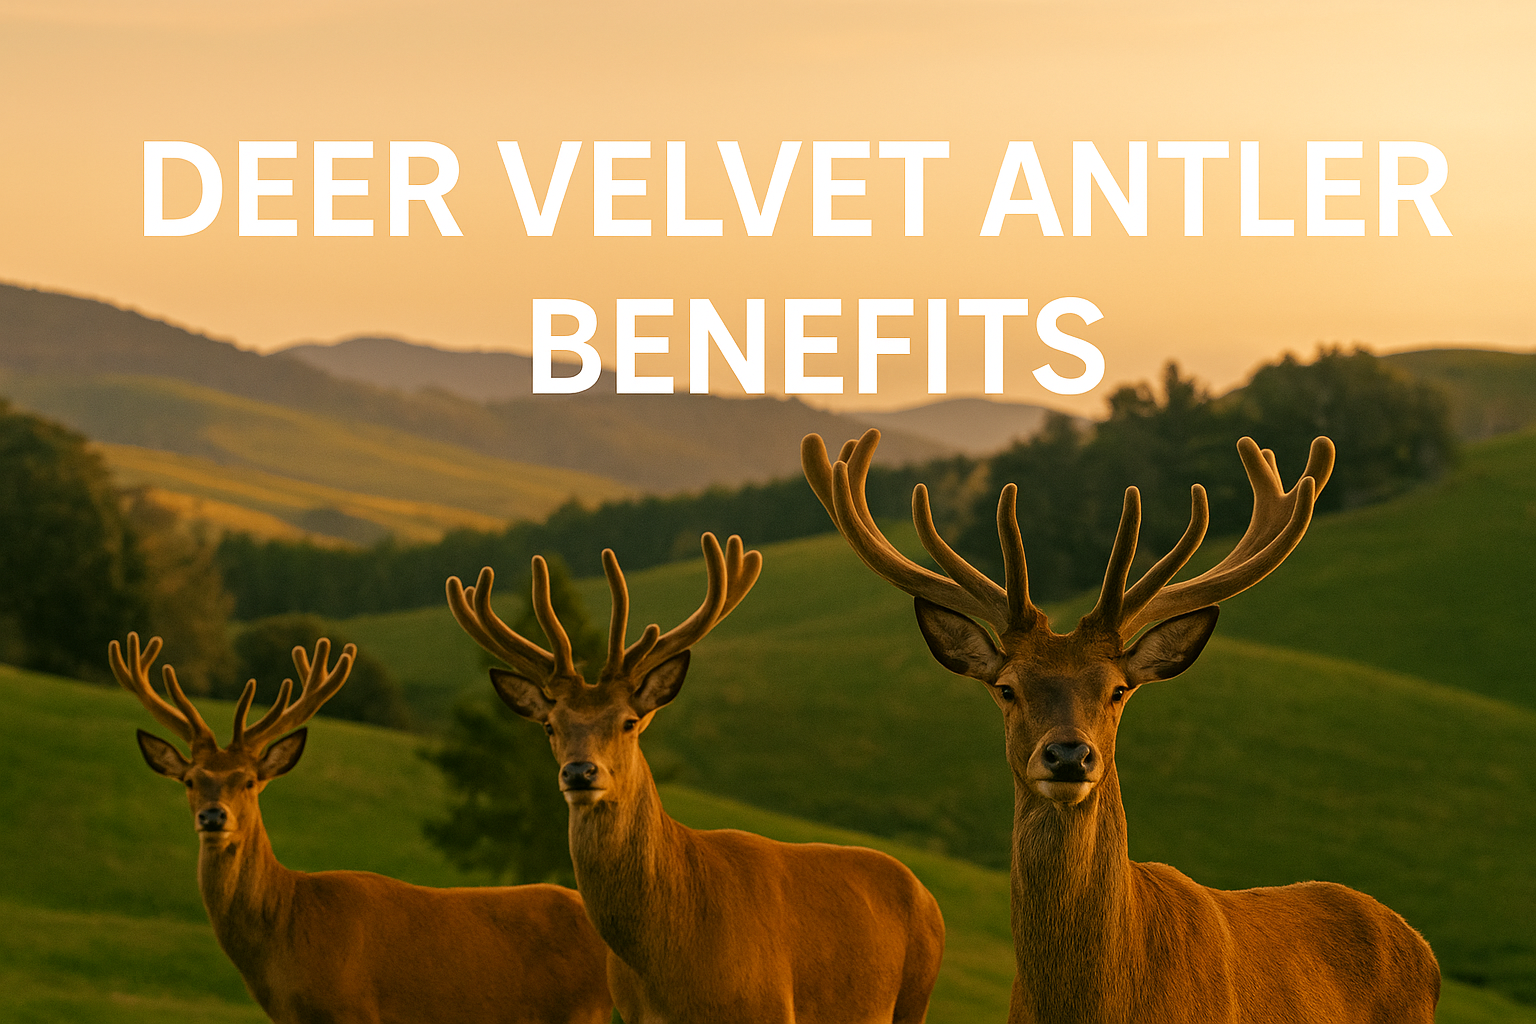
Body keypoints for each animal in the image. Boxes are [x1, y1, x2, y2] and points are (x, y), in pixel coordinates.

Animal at [110, 631, 614, 1024]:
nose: (214, 817)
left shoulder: (351, 1007)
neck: (289, 927)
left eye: (249, 780)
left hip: (582, 1010)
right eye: (191, 780)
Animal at [445, 532, 946, 1024]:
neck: (672, 967)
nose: (580, 772)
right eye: (550, 725)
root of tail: (927, 896)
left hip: (915, 998)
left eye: (629, 721)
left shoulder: (769, 1006)